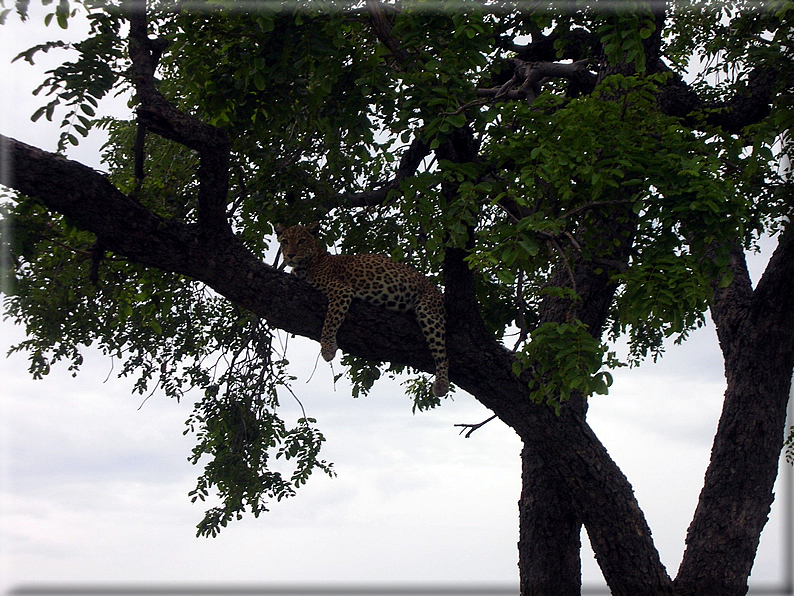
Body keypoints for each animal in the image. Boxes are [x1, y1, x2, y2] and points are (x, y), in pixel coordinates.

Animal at [274, 222, 446, 396]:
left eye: (302, 241)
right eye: (285, 242)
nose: (290, 255)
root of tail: (437, 291)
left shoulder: (341, 291)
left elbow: (330, 320)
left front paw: (328, 348)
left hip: (428, 311)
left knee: (443, 353)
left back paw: (441, 385)